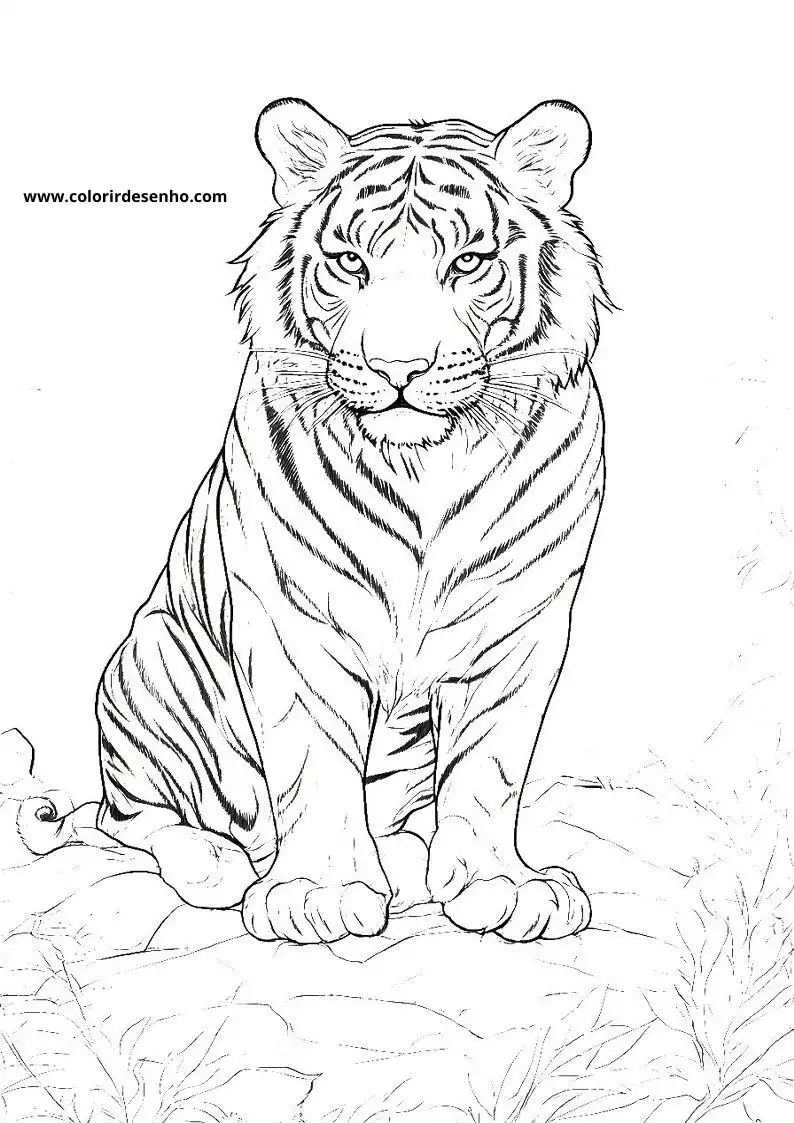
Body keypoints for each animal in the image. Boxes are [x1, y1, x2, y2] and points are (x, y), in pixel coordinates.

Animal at [92, 97, 612, 944]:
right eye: (350, 263)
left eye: (468, 263)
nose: (398, 369)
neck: (427, 464)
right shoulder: (292, 616)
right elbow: (313, 759)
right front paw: (319, 893)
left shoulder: (520, 621)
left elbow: (489, 765)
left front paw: (503, 884)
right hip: (151, 654)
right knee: (132, 820)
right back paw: (221, 864)